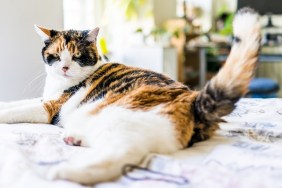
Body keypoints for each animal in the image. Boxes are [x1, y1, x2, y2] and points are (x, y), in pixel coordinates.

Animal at [0, 8, 260, 184]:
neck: (58, 84)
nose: (64, 68)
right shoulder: (44, 99)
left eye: (76, 57)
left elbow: (18, 111)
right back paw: (75, 139)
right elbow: (16, 103)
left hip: (122, 119)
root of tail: (194, 100)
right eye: (55, 56)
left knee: (120, 156)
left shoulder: (50, 107)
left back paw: (64, 173)